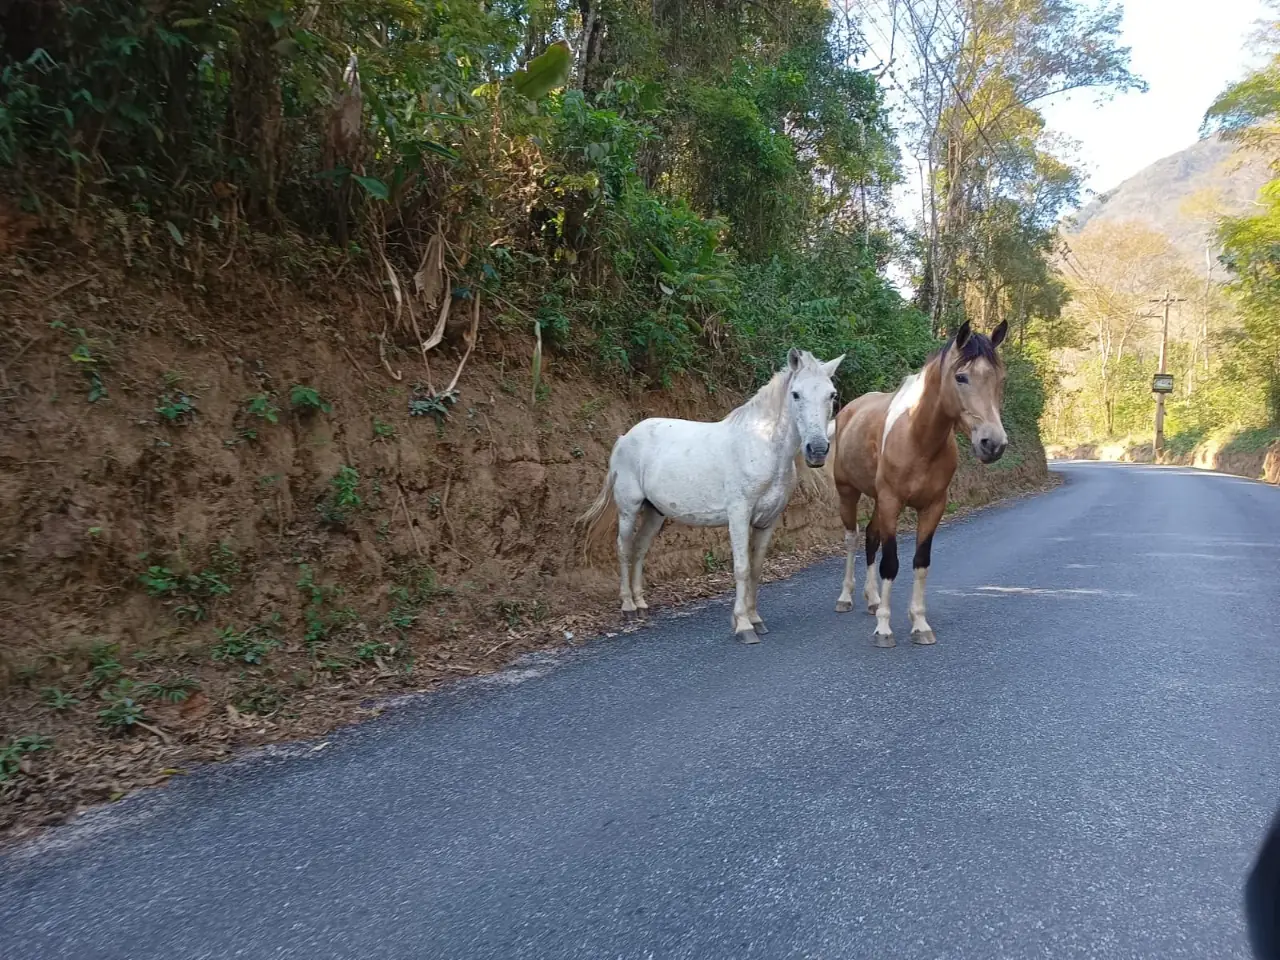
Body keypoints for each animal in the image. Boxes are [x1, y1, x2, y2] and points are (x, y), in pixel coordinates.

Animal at [578, 348, 839, 647]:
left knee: (640, 548)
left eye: (832, 394)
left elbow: (756, 568)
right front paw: (743, 625)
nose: (817, 450)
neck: (761, 446)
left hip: (655, 512)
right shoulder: (739, 516)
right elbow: (742, 568)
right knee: (623, 548)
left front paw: (755, 619)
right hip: (629, 508)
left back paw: (641, 603)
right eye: (795, 394)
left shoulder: (767, 521)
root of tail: (624, 437)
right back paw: (628, 607)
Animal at [829, 321, 1008, 647]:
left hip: (877, 501)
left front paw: (920, 623)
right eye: (961, 377)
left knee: (870, 537)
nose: (993, 443)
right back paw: (846, 597)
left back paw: (873, 599)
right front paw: (884, 628)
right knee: (852, 538)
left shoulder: (933, 506)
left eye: (1001, 379)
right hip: (848, 492)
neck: (917, 437)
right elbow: (891, 563)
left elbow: (920, 561)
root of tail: (849, 409)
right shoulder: (891, 502)